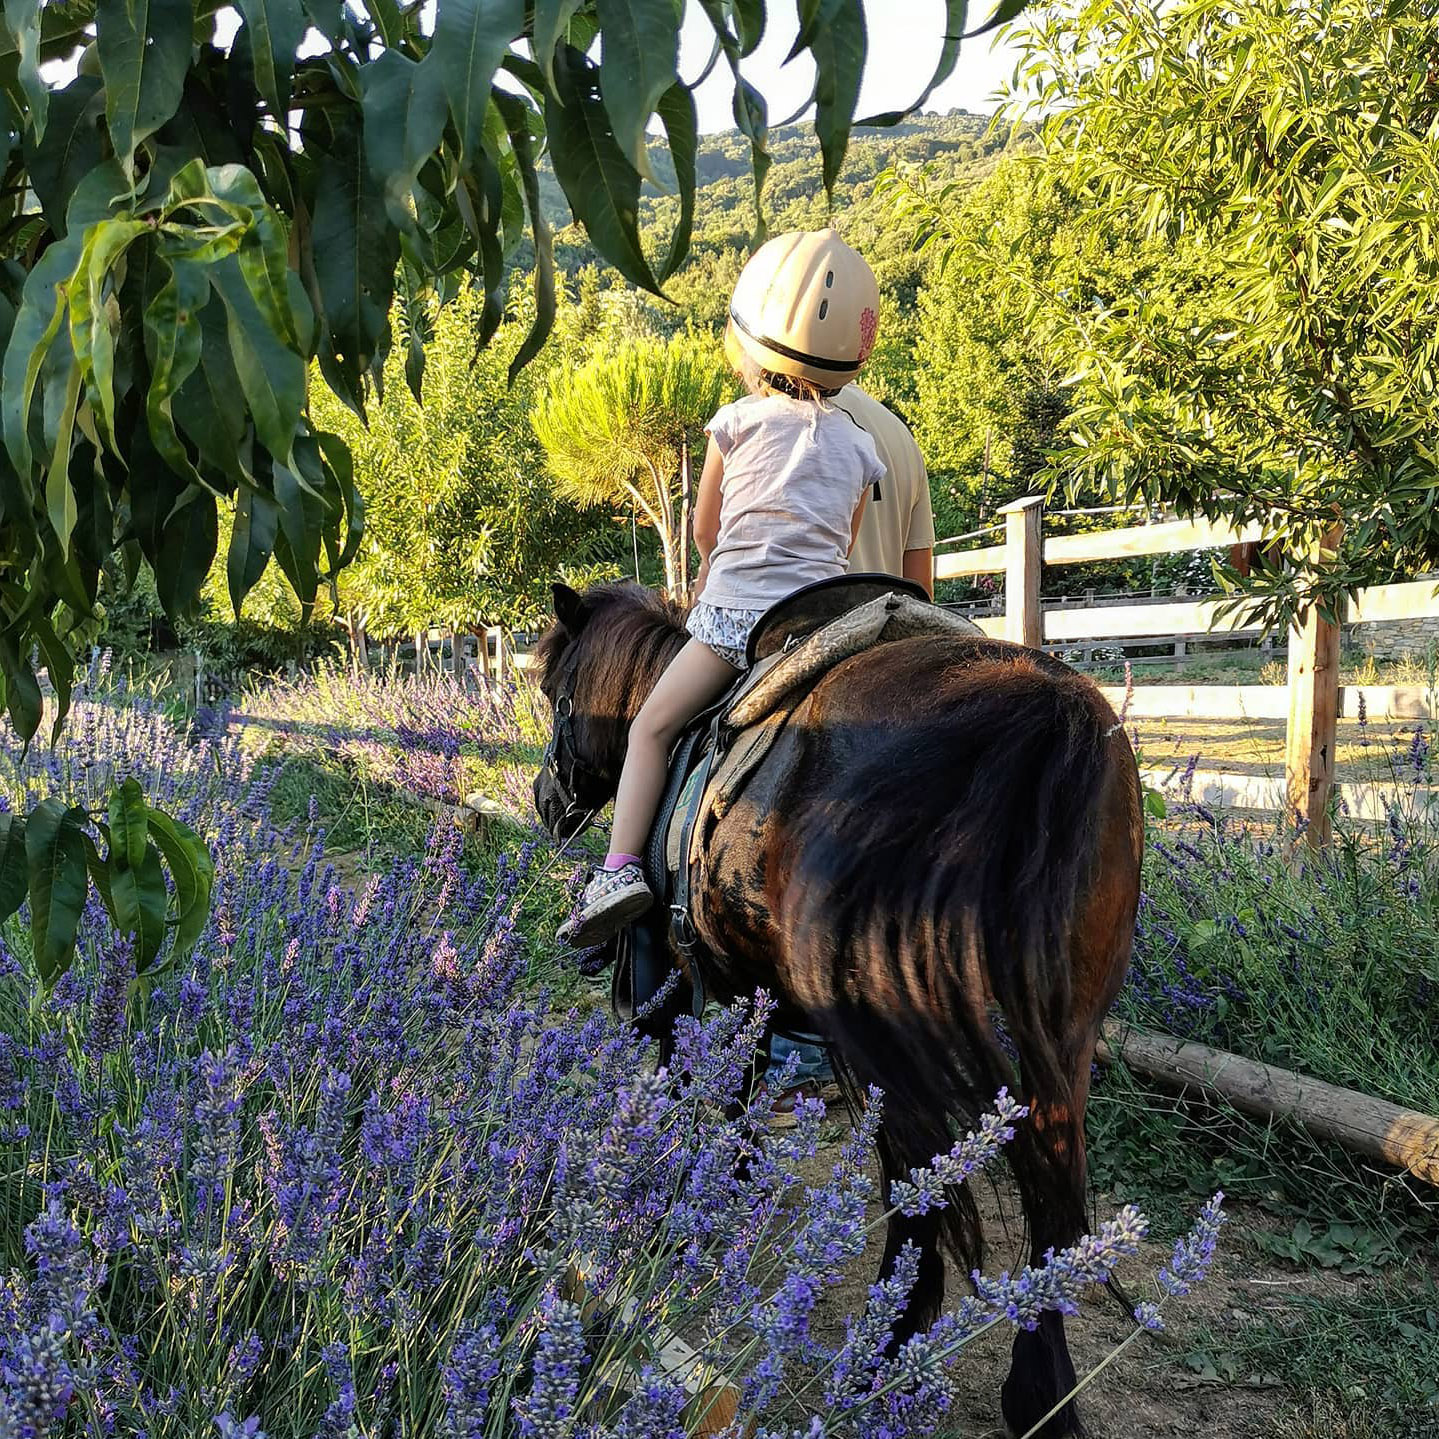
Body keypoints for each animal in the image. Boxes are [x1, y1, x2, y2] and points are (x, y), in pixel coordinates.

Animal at [535, 578, 1139, 1433]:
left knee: (920, 1187)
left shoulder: (695, 975)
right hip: (1061, 1028)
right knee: (1051, 1187)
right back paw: (1037, 1391)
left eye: (556, 695)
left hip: (886, 1030)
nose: (545, 800)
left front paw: (695, 1206)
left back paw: (884, 1355)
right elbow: (741, 1095)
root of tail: (1041, 711)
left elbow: (715, 1088)